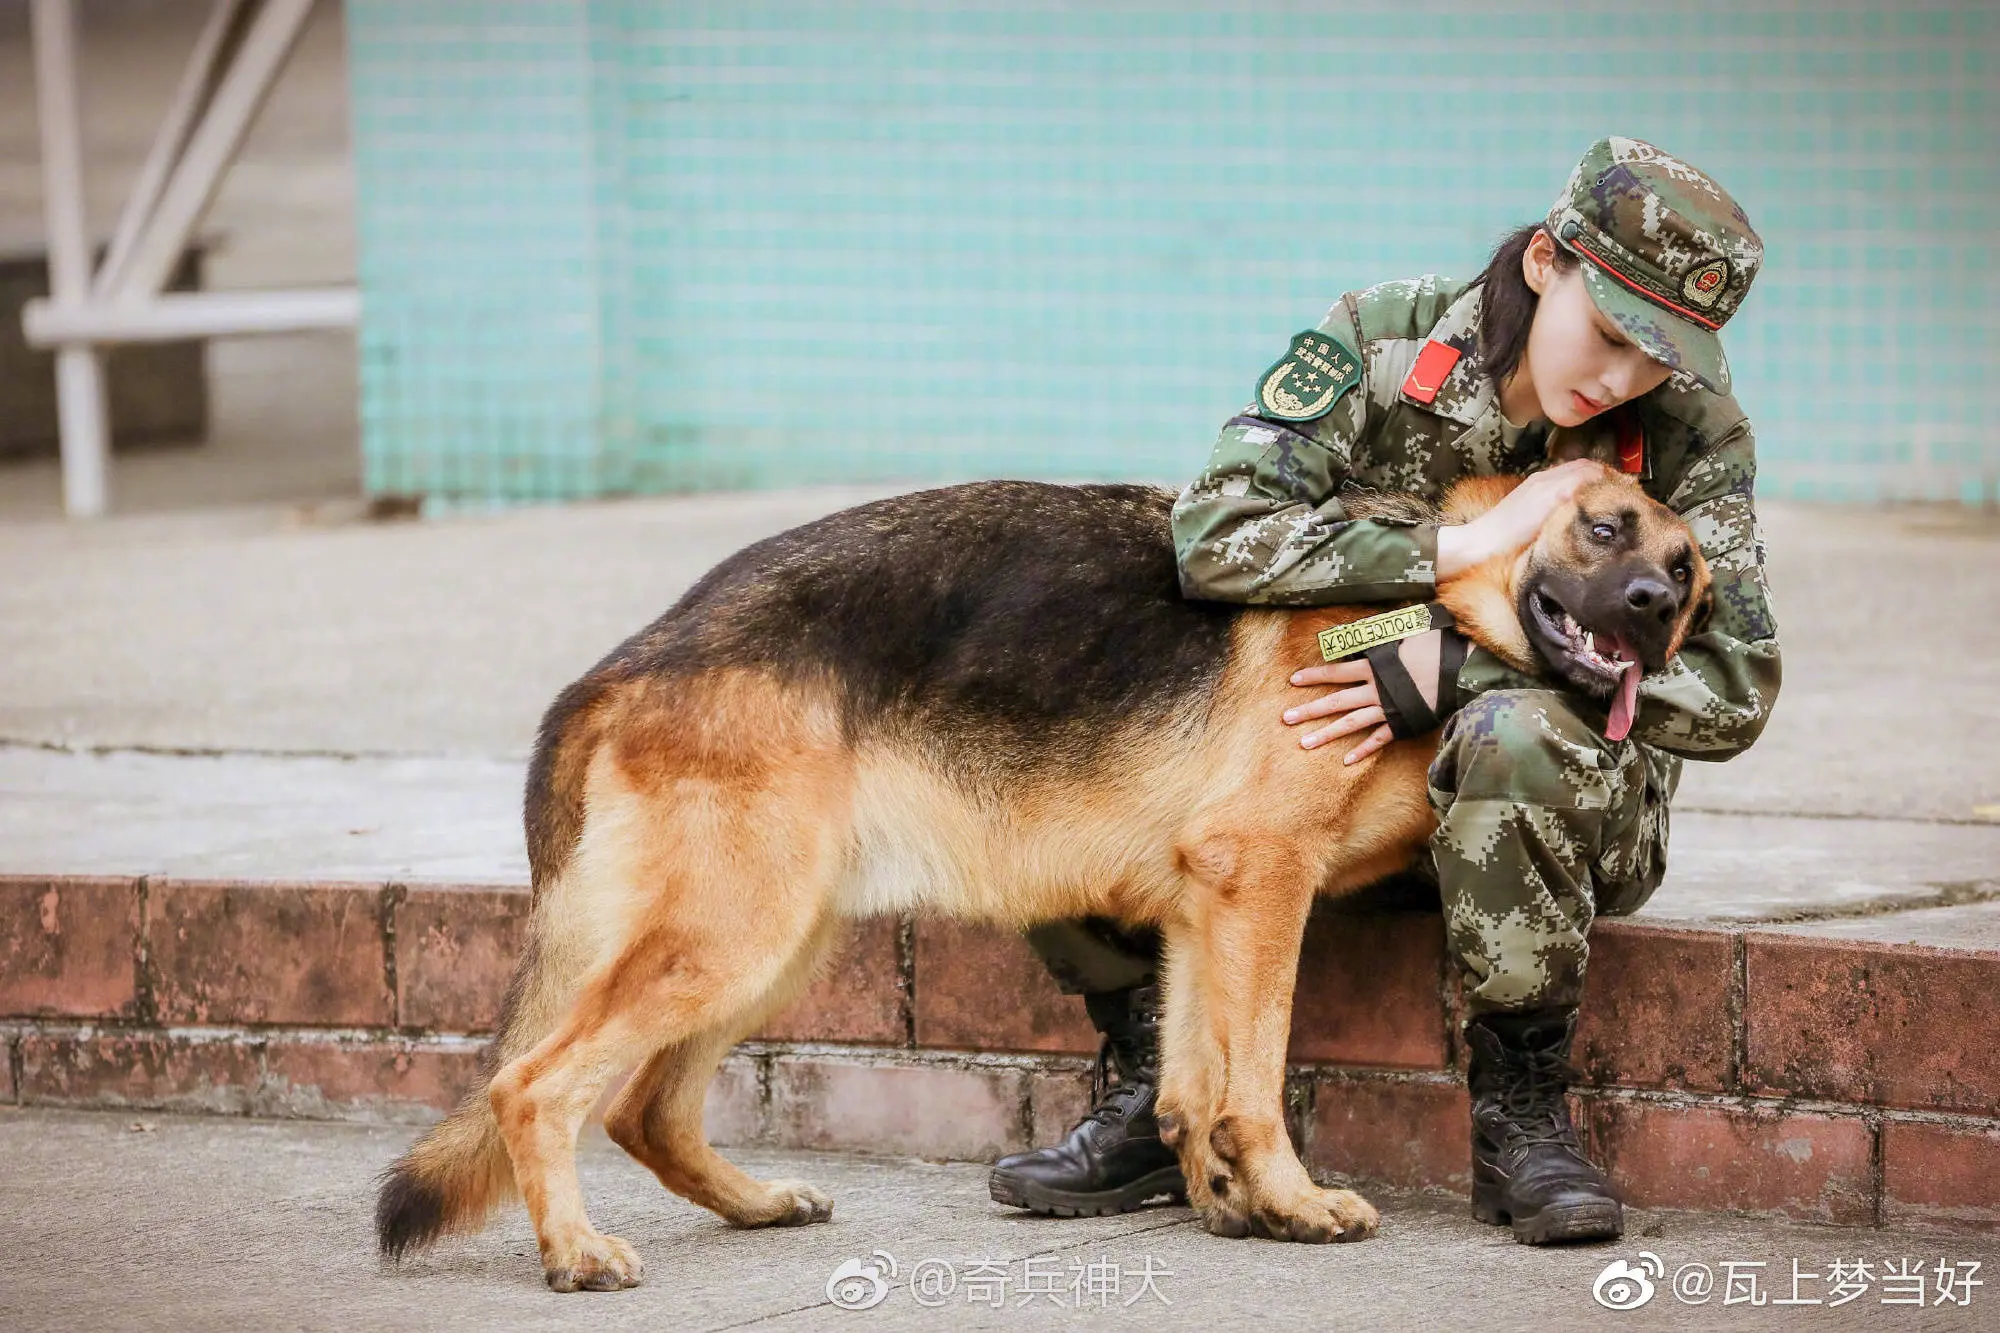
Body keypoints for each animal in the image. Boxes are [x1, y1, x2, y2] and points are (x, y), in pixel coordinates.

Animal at [378, 456, 1720, 1288]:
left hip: (773, 942)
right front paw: (1289, 1201)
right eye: (1603, 527)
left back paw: (753, 1203)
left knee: (643, 1107)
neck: (1425, 602)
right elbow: (1252, 1074)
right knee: (535, 1086)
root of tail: (627, 658)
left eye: (1689, 569)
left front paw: (1223, 1198)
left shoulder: (1204, 904)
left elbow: (1189, 1076)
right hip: (731, 935)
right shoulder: (1259, 882)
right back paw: (575, 1253)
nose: (1651, 610)